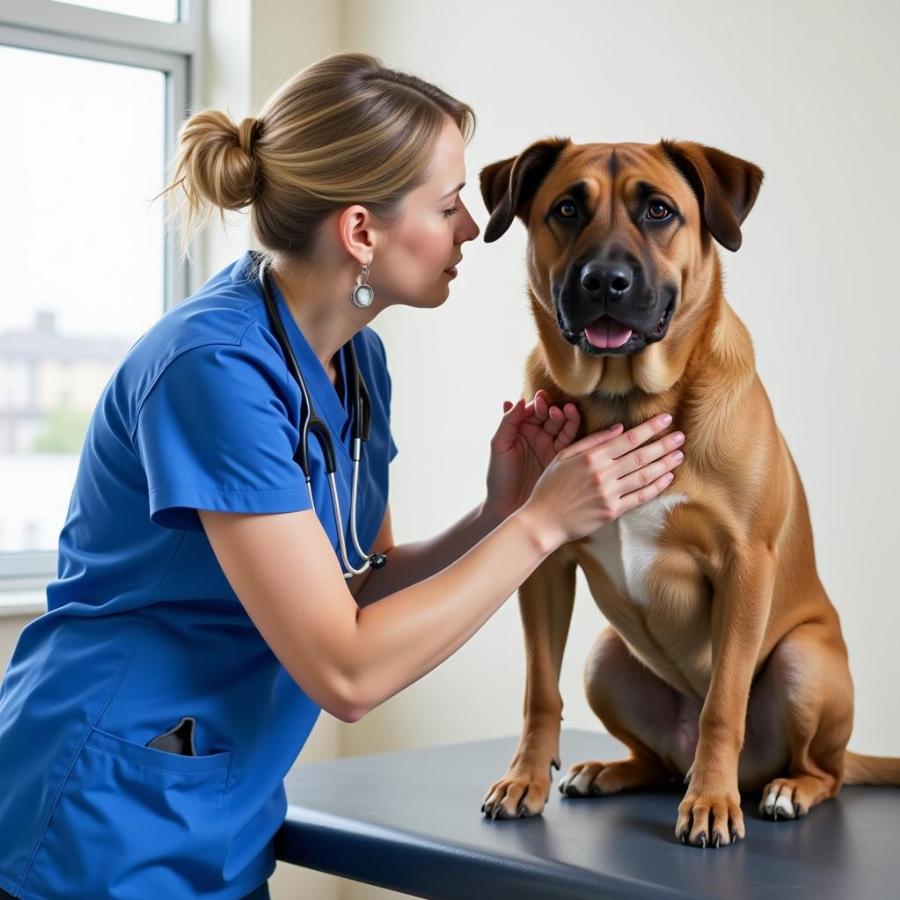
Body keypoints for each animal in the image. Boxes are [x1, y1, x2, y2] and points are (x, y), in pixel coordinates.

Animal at [478, 137, 900, 848]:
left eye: (658, 210)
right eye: (566, 208)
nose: (605, 281)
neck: (626, 402)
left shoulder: (744, 565)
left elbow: (724, 703)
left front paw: (711, 802)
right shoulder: (545, 566)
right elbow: (540, 691)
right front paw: (524, 779)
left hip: (803, 663)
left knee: (827, 771)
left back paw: (784, 788)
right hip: (604, 659)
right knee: (655, 758)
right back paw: (613, 770)